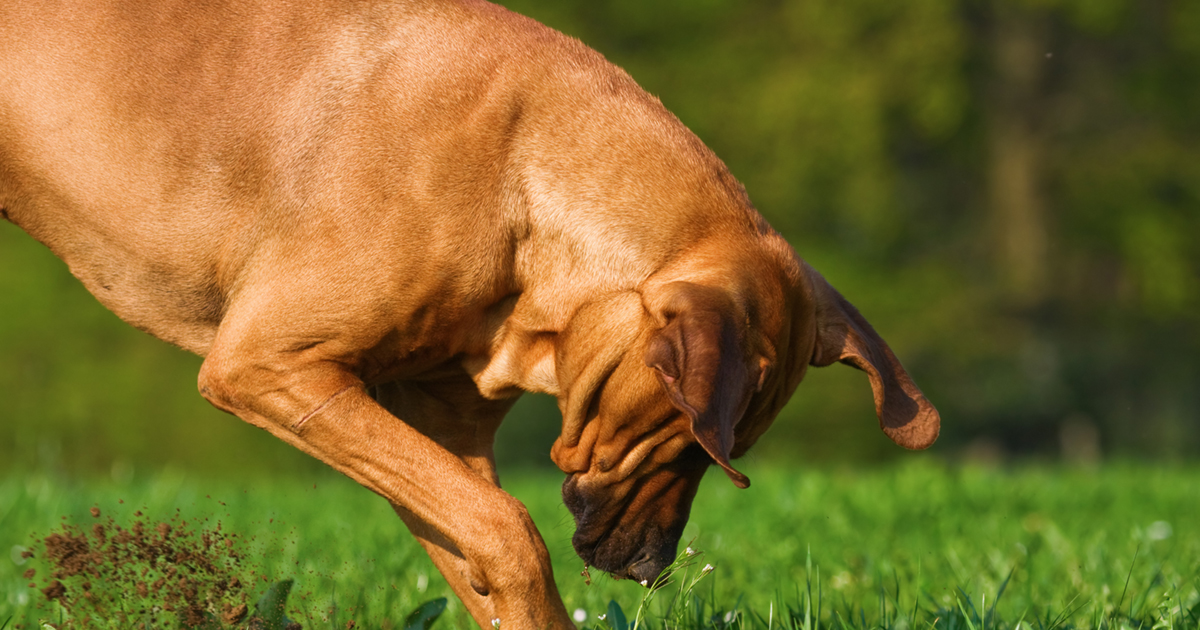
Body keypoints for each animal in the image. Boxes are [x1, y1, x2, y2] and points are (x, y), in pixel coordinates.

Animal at [0, 0, 936, 624]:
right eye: (690, 444)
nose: (649, 567)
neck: (525, 188)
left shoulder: (438, 434)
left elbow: (478, 551)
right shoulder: (272, 367)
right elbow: (510, 532)